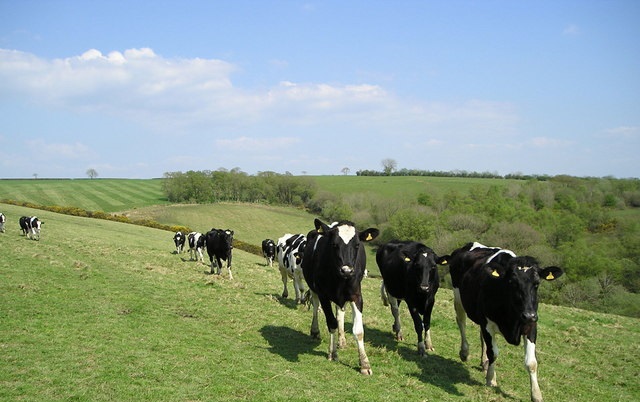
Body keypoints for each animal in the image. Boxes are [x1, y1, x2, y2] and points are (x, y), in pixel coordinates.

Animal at [302, 220, 378, 374]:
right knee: (315, 306)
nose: (347, 270)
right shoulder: (323, 294)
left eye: (357, 245)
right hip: (314, 288)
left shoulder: (356, 296)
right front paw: (332, 353)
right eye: (334, 244)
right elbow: (331, 323)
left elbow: (358, 330)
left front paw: (365, 364)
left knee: (340, 312)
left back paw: (342, 340)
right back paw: (315, 331)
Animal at [442, 242, 564, 402]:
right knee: (461, 322)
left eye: (537, 283)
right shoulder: (488, 324)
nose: (528, 315)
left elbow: (531, 362)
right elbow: (493, 352)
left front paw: (536, 394)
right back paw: (464, 352)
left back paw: (484, 363)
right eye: (512, 282)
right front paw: (491, 379)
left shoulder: (531, 325)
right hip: (458, 298)